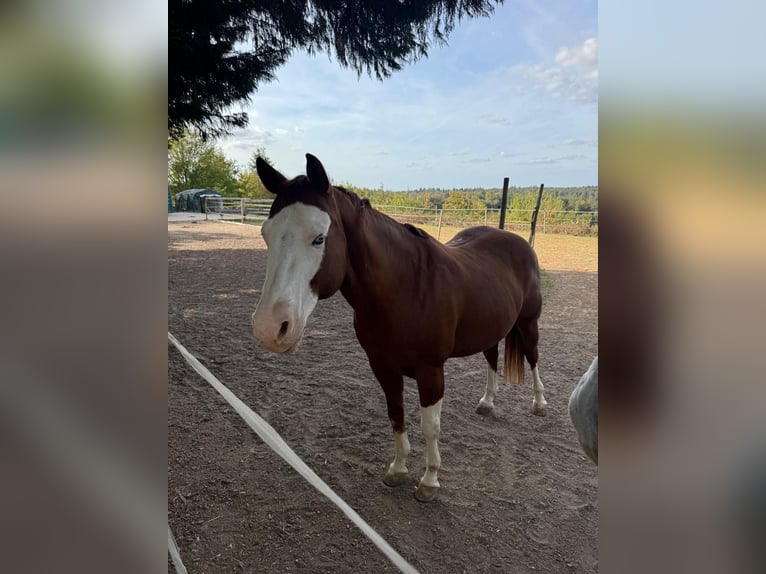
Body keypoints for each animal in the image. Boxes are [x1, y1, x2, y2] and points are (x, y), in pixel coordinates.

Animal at [251, 154, 548, 502]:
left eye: (319, 237)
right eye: (266, 234)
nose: (270, 328)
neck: (405, 287)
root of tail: (517, 241)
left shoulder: (431, 370)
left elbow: (430, 426)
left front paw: (429, 481)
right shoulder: (382, 366)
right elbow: (396, 414)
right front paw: (398, 469)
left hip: (528, 324)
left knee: (533, 357)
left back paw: (539, 404)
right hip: (491, 326)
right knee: (491, 356)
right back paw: (487, 402)